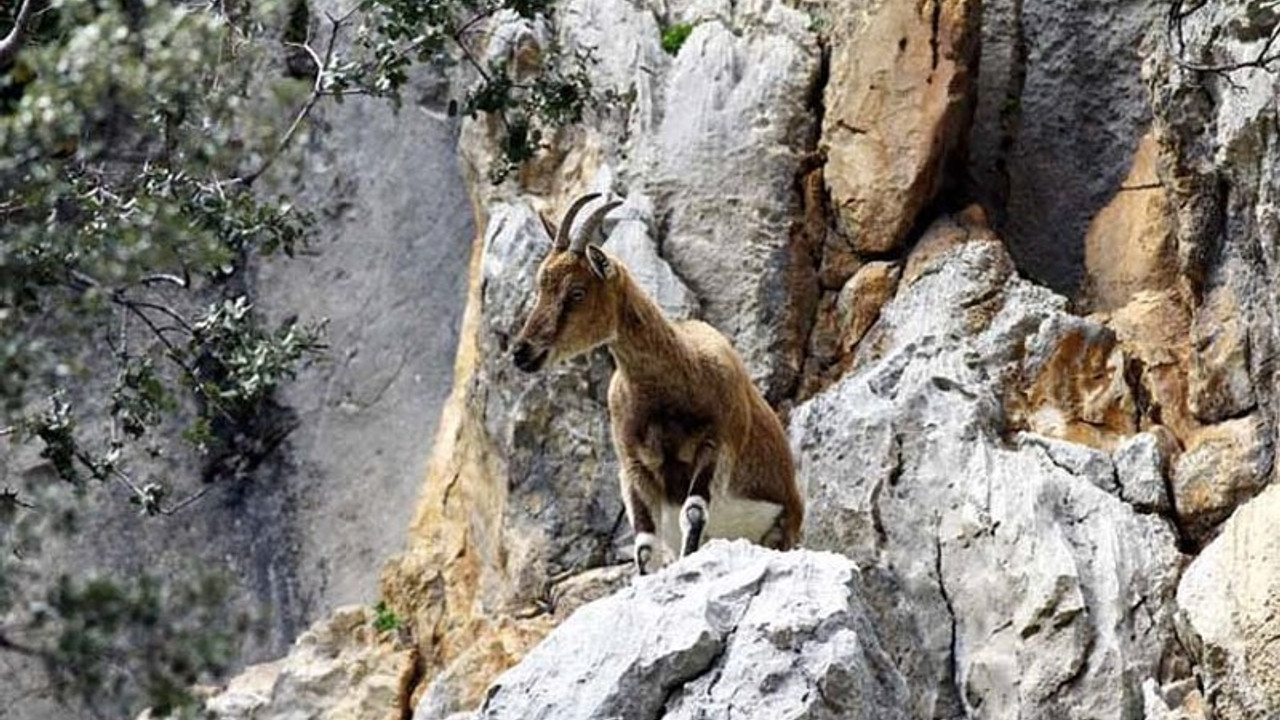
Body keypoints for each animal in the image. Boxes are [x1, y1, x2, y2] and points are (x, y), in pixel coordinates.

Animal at [509, 192, 798, 571]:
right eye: (540, 286)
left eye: (576, 292)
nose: (522, 352)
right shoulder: (634, 466)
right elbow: (645, 545)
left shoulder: (717, 445)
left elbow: (694, 513)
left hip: (787, 525)